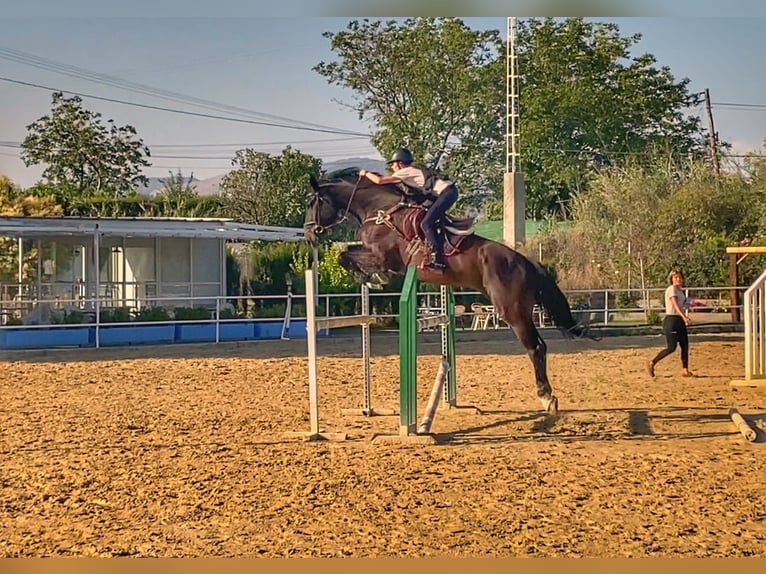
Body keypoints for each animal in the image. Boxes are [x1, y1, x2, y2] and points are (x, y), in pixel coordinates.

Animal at [304, 167, 592, 416]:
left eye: (313, 203)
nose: (309, 236)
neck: (380, 211)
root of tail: (526, 262)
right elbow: (346, 253)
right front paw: (370, 278)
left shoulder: (382, 256)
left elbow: (344, 256)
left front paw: (371, 278)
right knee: (539, 346)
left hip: (512, 311)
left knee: (535, 348)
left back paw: (546, 397)